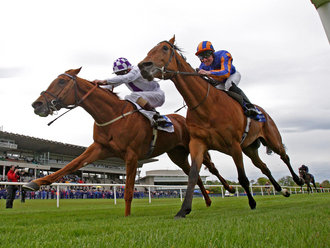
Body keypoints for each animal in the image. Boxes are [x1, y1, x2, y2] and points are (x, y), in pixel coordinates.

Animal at [23, 67, 235, 215]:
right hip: (177, 155)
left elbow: (129, 190)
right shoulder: (99, 147)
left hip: (195, 146)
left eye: (60, 82)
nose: (37, 104)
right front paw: (34, 183)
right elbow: (71, 165)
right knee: (194, 174)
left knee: (211, 168)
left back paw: (230, 188)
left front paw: (126, 216)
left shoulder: (132, 155)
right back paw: (207, 201)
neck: (112, 115)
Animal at [139, 35, 304, 218]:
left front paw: (252, 203)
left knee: (284, 156)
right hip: (249, 148)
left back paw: (298, 180)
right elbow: (193, 175)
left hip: (272, 139)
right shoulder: (198, 143)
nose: (143, 66)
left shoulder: (234, 145)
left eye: (165, 48)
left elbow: (242, 178)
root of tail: (264, 112)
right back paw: (283, 190)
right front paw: (184, 209)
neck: (206, 106)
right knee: (263, 167)